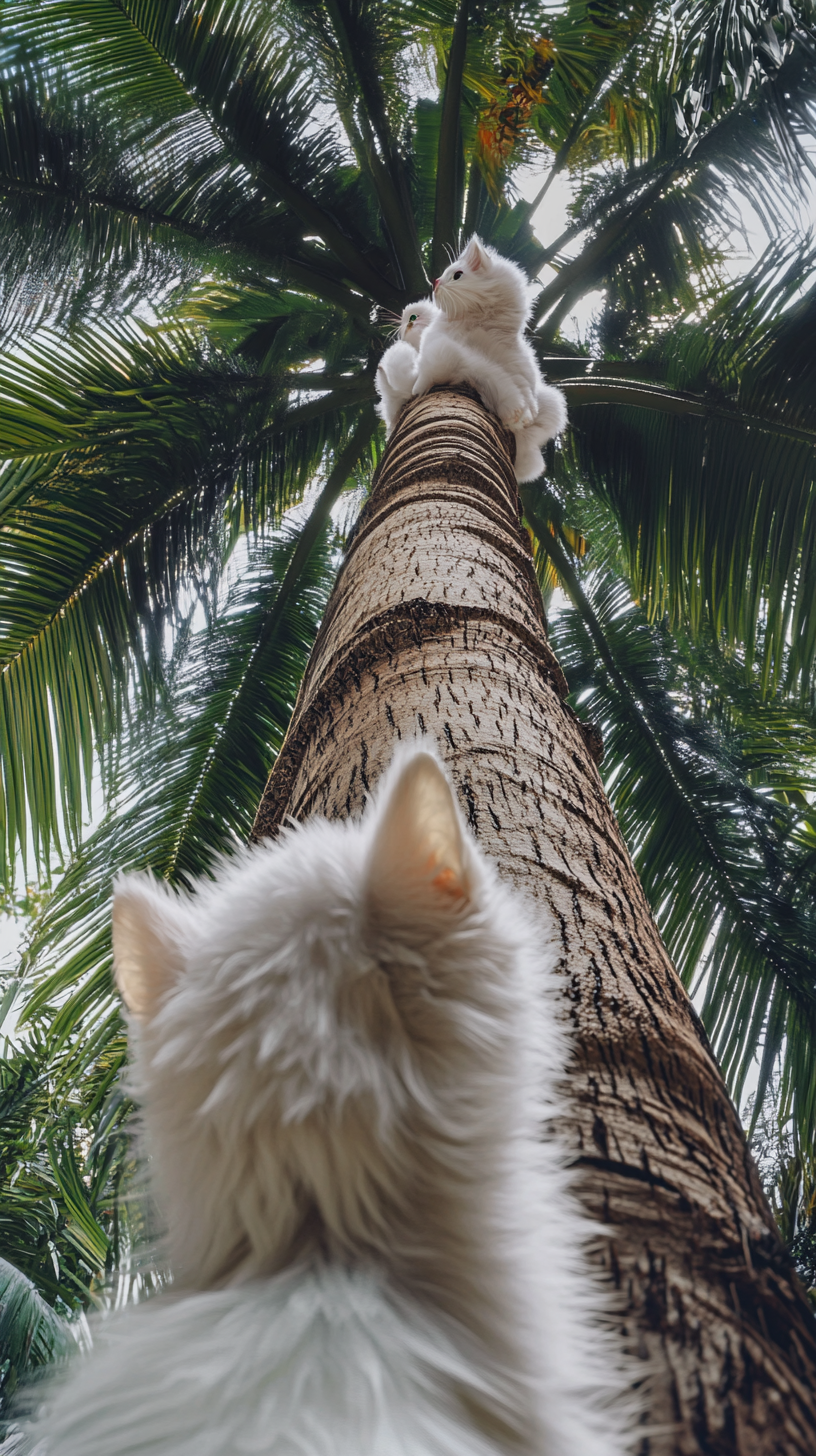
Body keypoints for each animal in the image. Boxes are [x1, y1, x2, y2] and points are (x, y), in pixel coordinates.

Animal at [413, 238, 568, 483]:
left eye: (457, 275)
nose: (435, 282)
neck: (480, 324)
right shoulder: (461, 358)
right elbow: (496, 377)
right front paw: (518, 413)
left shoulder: (516, 361)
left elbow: (526, 385)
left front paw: (528, 413)